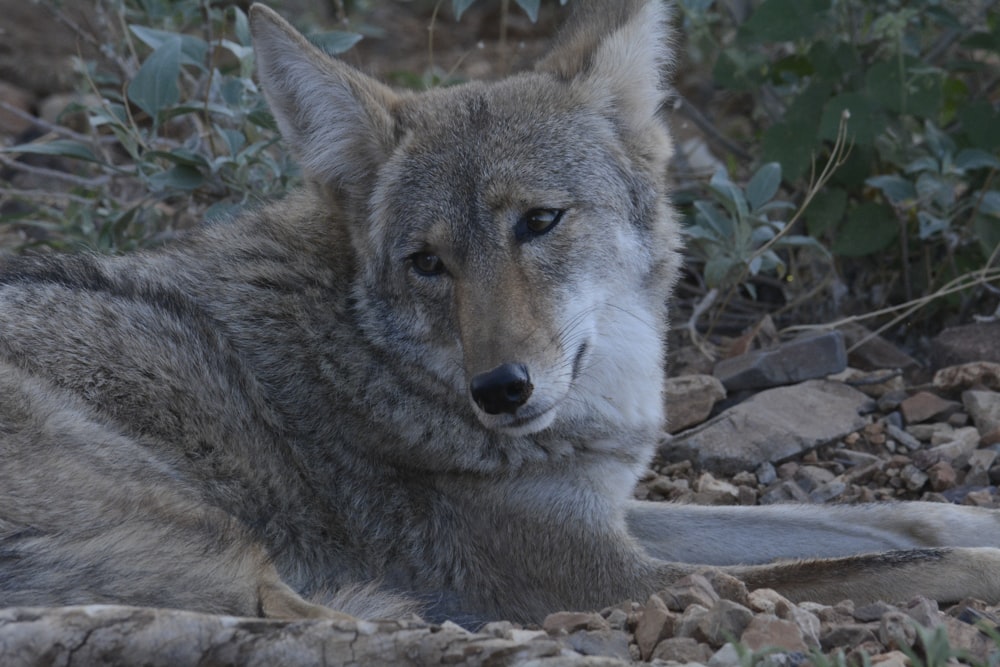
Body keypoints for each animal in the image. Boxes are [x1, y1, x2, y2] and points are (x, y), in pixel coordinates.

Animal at [1, 0, 1000, 628]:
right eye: (427, 263)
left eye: (540, 221)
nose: (501, 390)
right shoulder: (604, 572)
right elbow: (878, 566)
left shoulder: (604, 512)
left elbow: (910, 524)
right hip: (203, 517)